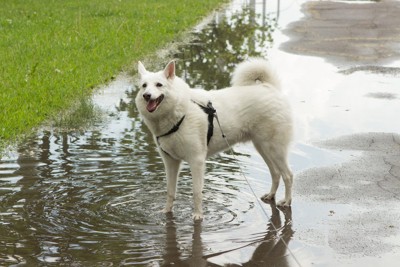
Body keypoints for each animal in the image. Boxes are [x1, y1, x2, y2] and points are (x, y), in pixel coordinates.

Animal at [136, 58, 292, 220]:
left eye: (159, 85)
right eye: (144, 86)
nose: (146, 95)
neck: (179, 112)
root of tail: (269, 87)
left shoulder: (196, 161)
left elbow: (197, 192)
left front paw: (198, 215)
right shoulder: (170, 162)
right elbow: (170, 191)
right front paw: (167, 212)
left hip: (275, 149)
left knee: (288, 175)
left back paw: (286, 201)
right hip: (263, 148)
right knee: (276, 173)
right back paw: (271, 195)